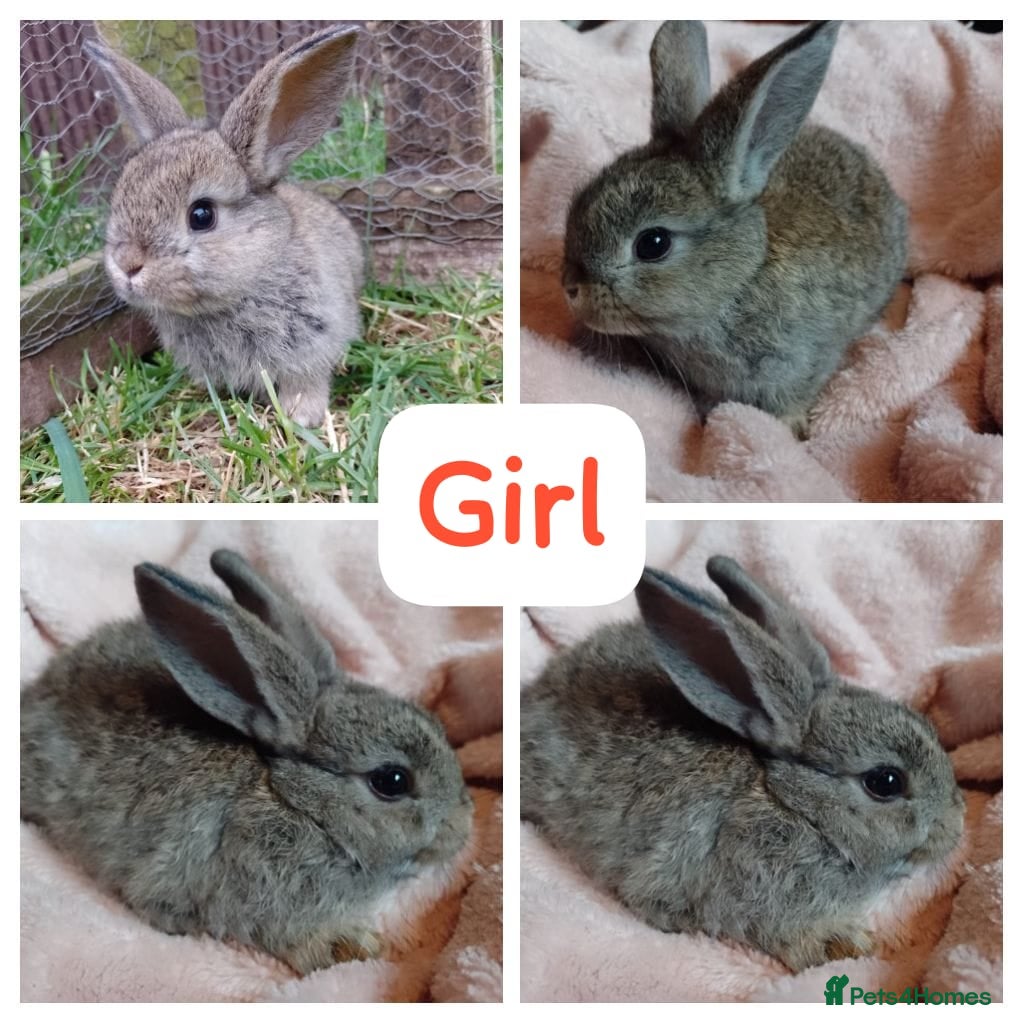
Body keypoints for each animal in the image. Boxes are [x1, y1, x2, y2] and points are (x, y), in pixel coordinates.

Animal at [83, 26, 365, 427]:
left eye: (202, 215)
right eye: (121, 197)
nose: (127, 265)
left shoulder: (312, 345)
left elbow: (308, 381)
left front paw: (301, 417)